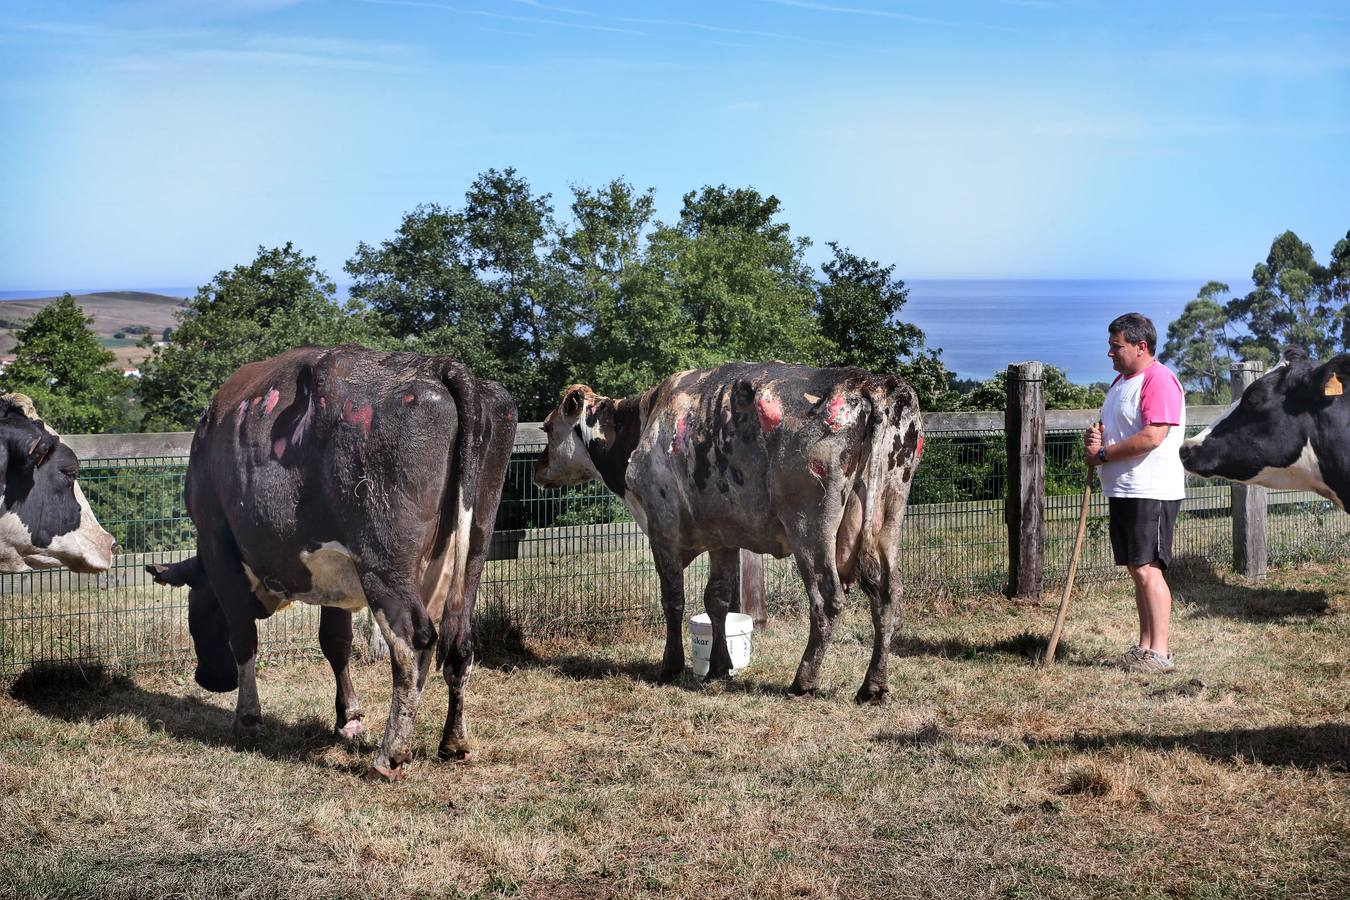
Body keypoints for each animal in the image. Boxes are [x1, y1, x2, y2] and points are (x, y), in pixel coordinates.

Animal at [145, 347, 515, 780]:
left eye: (197, 607)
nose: (206, 679)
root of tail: (437, 365)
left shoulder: (217, 541)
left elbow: (243, 634)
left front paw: (247, 718)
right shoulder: (334, 571)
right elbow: (335, 641)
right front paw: (348, 717)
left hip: (382, 560)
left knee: (413, 641)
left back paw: (390, 755)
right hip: (474, 548)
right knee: (458, 641)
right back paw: (453, 743)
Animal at [532, 362, 923, 704]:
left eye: (548, 428)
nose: (537, 468)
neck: (643, 426)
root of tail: (869, 384)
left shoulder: (662, 526)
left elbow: (673, 599)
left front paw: (671, 666)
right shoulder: (723, 535)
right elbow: (716, 599)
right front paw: (720, 665)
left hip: (810, 526)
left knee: (827, 599)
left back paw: (803, 681)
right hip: (888, 517)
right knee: (888, 597)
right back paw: (873, 687)